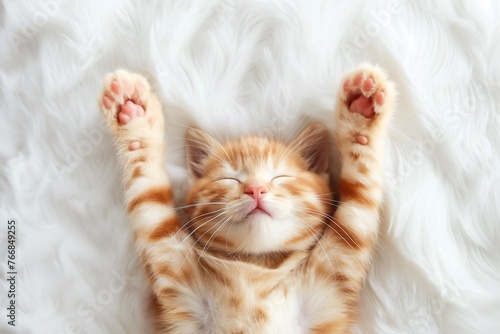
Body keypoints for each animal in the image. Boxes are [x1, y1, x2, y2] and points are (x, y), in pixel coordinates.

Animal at [98, 64, 394, 332]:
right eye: (230, 179)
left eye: (279, 177)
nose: (255, 189)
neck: (256, 268)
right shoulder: (170, 262)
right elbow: (148, 196)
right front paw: (133, 119)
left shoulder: (337, 270)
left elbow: (360, 195)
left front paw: (361, 112)